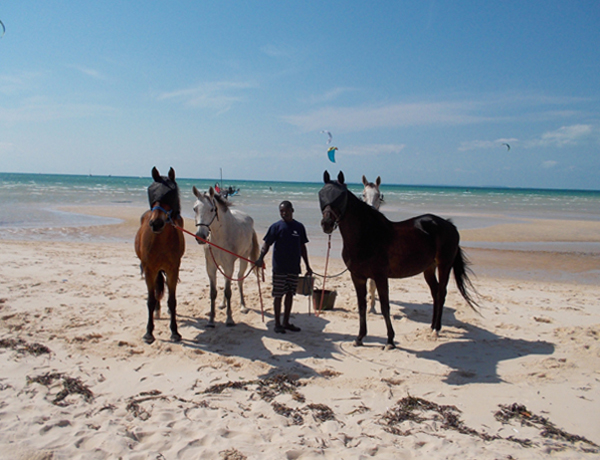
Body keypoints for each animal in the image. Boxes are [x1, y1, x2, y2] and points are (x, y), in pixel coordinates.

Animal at [134, 167, 185, 344]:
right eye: (153, 192)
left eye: (170, 194)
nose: (156, 223)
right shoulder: (150, 270)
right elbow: (150, 300)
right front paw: (149, 333)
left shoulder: (172, 270)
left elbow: (172, 301)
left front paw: (175, 332)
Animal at [192, 186, 258, 328]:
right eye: (195, 208)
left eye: (212, 209)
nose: (200, 236)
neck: (219, 237)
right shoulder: (211, 267)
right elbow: (213, 293)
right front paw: (211, 320)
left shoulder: (229, 266)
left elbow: (228, 292)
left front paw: (229, 319)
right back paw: (222, 304)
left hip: (243, 259)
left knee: (239, 280)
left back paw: (243, 306)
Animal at [318, 172, 478, 348]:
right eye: (321, 194)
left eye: (341, 196)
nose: (326, 224)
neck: (367, 235)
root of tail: (450, 225)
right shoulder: (357, 277)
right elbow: (362, 306)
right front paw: (360, 338)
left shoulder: (380, 277)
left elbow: (385, 306)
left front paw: (390, 340)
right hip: (429, 268)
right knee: (435, 292)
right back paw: (431, 326)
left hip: (444, 266)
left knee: (441, 293)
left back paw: (436, 329)